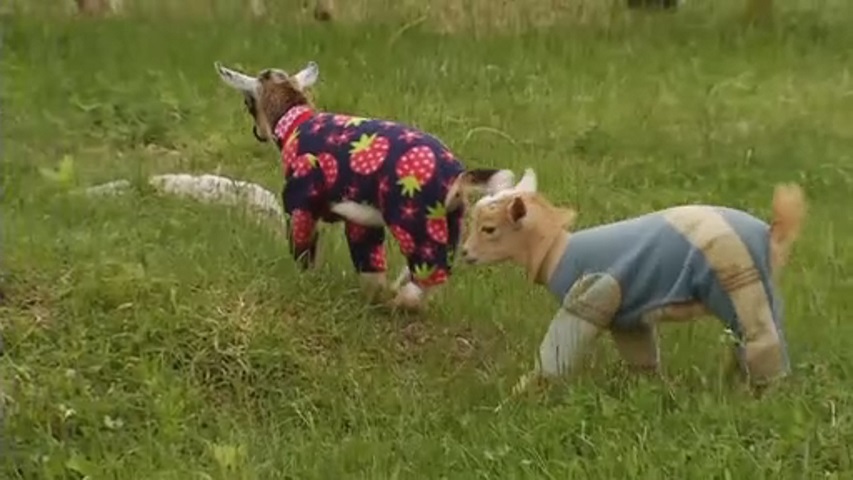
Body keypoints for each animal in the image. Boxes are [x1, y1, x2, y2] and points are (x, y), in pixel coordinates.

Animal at [214, 60, 515, 311]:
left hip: (414, 220)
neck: (296, 121)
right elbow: (369, 263)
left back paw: (399, 303)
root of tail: (456, 176)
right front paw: (371, 294)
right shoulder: (361, 220)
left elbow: (303, 248)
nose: (258, 133)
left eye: (247, 102)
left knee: (428, 275)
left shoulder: (300, 199)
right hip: (450, 223)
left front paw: (307, 281)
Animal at [460, 168, 807, 394]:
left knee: (761, 335)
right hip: (756, 284)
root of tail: (772, 233)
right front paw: (649, 388)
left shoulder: (593, 294)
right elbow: (640, 353)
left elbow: (558, 348)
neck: (558, 252)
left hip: (740, 279)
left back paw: (765, 391)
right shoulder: (626, 315)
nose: (464, 253)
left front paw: (522, 391)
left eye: (489, 228)